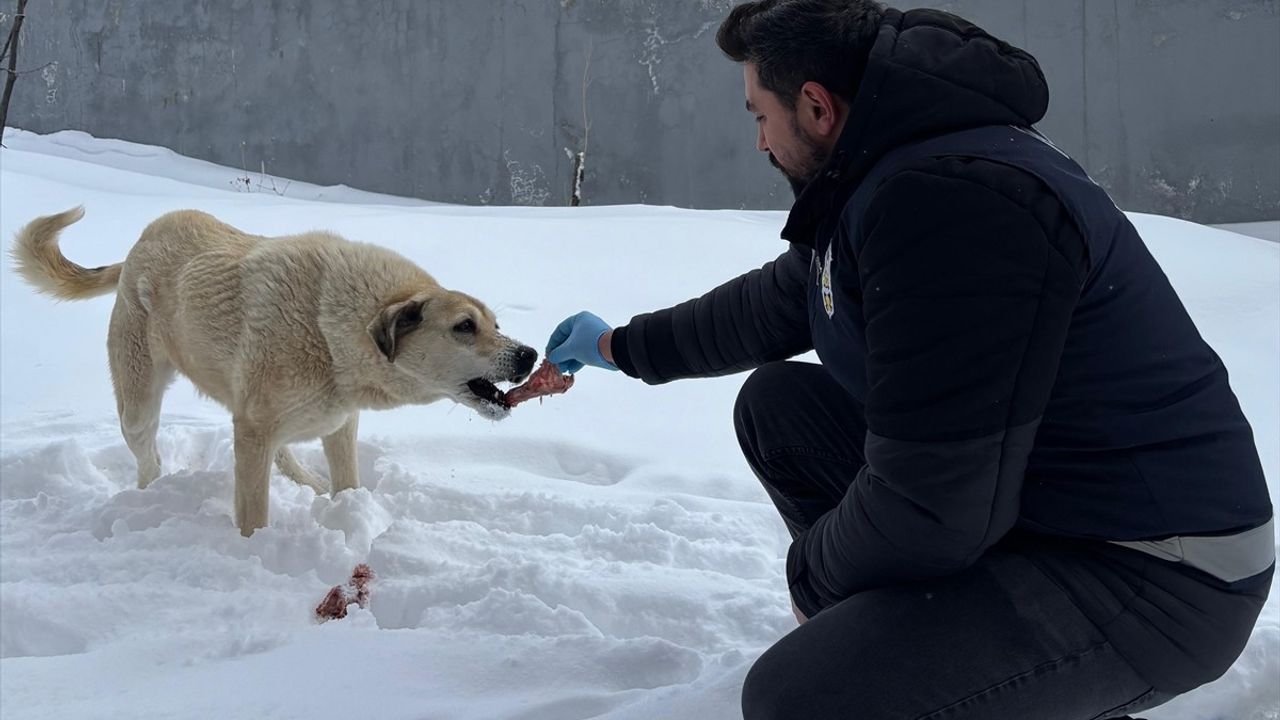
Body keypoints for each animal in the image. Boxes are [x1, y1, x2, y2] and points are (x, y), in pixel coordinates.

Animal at [10, 206, 532, 532]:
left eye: (496, 324)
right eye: (464, 326)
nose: (528, 355)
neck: (332, 328)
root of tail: (141, 243)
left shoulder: (337, 425)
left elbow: (347, 482)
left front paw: (346, 515)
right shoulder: (255, 430)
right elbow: (252, 515)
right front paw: (254, 554)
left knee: (282, 454)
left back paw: (309, 484)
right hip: (139, 406)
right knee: (148, 459)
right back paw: (150, 493)